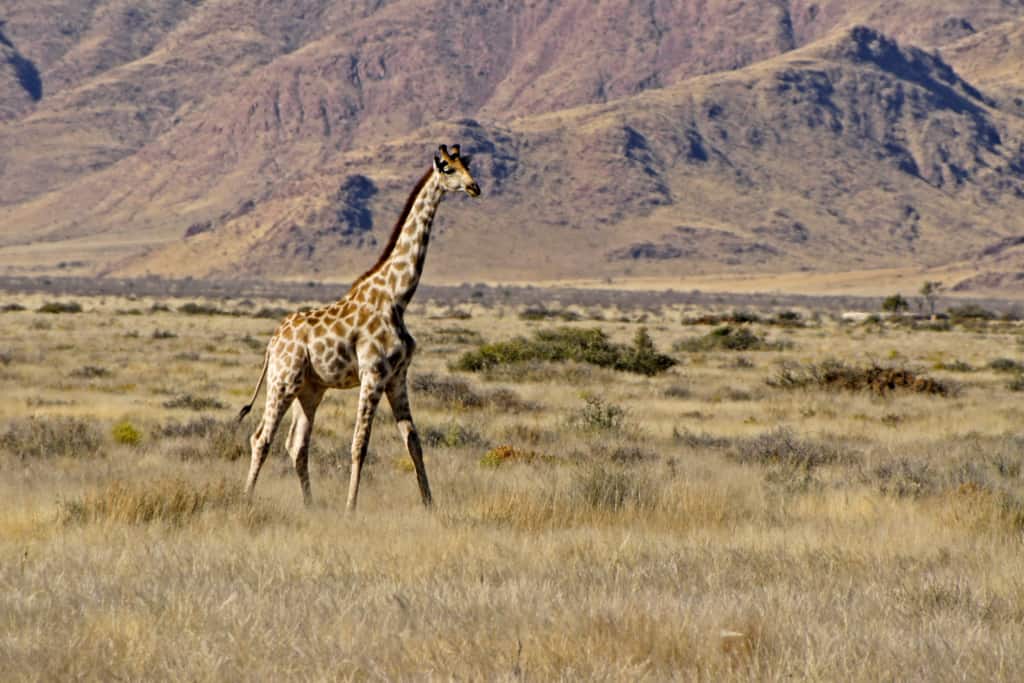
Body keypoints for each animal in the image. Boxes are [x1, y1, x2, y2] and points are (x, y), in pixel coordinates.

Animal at [237, 143, 481, 507]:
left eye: (467, 165)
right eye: (449, 169)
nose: (474, 187)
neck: (396, 297)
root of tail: (273, 342)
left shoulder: (397, 377)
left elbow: (414, 442)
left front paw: (430, 505)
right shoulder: (373, 374)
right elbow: (359, 445)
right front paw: (350, 508)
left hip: (310, 389)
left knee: (297, 445)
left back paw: (310, 506)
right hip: (283, 380)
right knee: (261, 438)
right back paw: (247, 499)